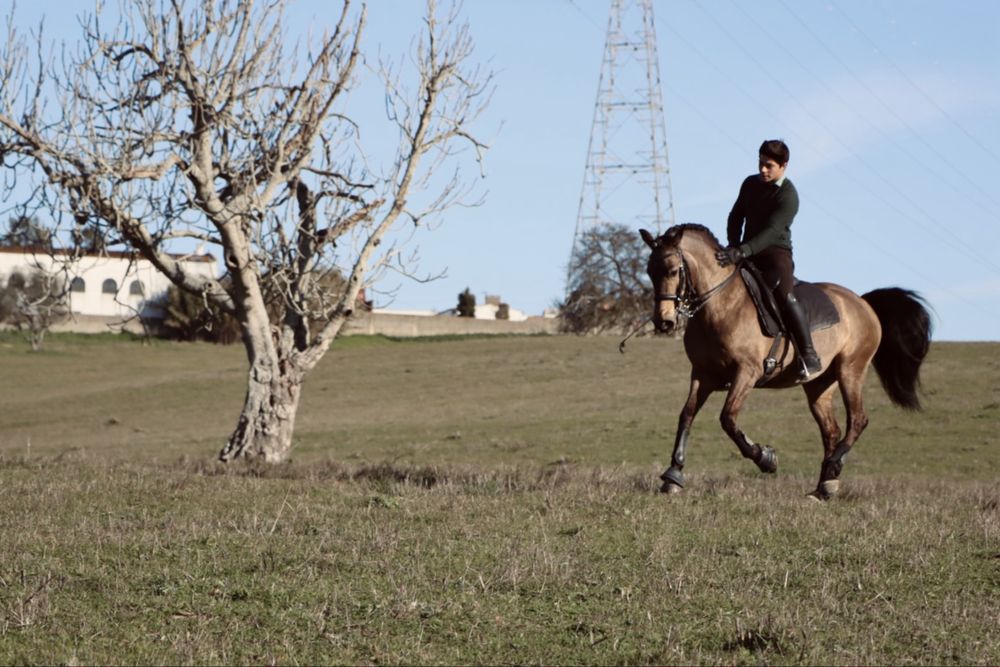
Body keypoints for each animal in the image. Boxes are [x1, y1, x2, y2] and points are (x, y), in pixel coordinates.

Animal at [639, 224, 931, 500]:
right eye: (650, 271)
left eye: (673, 271)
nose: (663, 322)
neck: (720, 305)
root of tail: (862, 302)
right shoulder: (702, 374)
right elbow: (686, 415)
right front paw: (673, 475)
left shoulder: (747, 372)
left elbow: (728, 418)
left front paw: (766, 458)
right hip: (819, 385)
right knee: (831, 431)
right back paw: (823, 487)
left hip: (851, 370)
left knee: (858, 420)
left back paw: (834, 467)